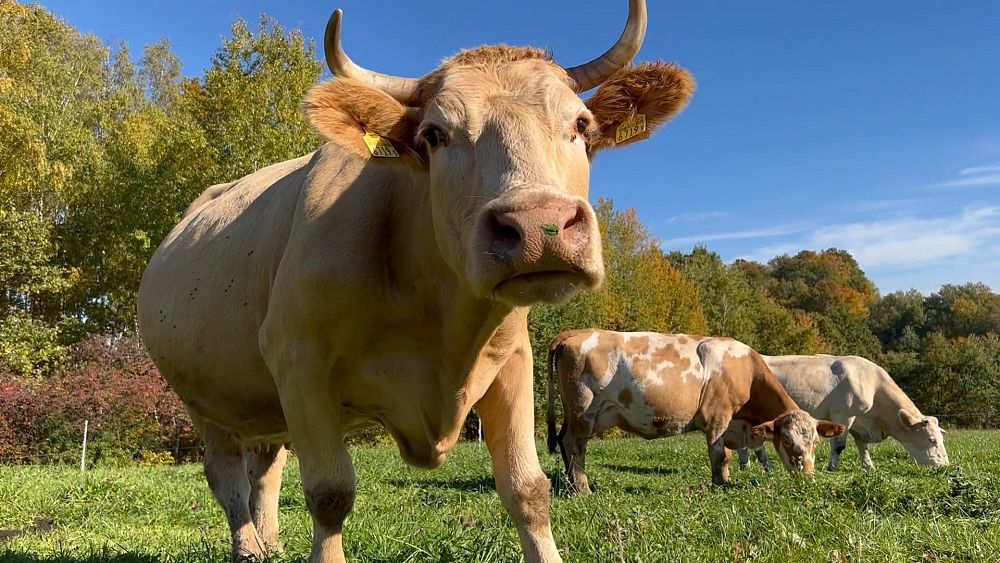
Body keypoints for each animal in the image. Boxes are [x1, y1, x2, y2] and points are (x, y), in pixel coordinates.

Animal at [135, 2, 696, 560]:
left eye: (580, 123)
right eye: (434, 135)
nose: (541, 224)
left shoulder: (513, 361)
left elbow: (528, 488)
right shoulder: (298, 361)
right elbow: (329, 493)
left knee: (266, 467)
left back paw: (270, 542)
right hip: (203, 401)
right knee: (227, 479)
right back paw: (249, 548)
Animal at [548, 330, 844, 494]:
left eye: (816, 442)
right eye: (787, 440)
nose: (806, 474)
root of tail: (577, 332)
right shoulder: (717, 418)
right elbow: (720, 455)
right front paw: (721, 485)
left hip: (578, 414)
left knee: (564, 442)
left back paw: (570, 485)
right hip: (583, 410)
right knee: (575, 445)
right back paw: (583, 489)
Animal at [744, 356, 952, 472]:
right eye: (932, 439)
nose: (944, 465)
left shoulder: (858, 422)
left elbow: (862, 446)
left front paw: (868, 466)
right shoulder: (843, 415)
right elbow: (839, 446)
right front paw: (832, 468)